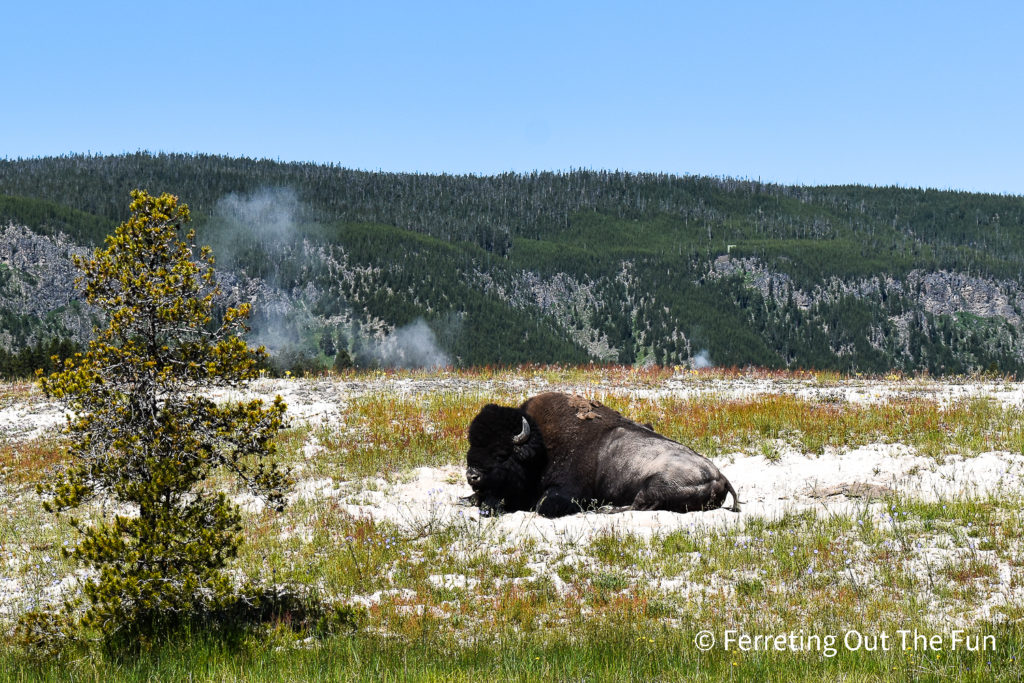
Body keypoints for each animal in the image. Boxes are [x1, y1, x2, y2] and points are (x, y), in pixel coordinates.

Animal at [462, 389, 737, 518]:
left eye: (501, 454)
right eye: (471, 446)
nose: (472, 475)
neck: (539, 451)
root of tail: (721, 476)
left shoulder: (568, 492)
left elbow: (542, 506)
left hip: (654, 484)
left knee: (638, 505)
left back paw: (603, 509)